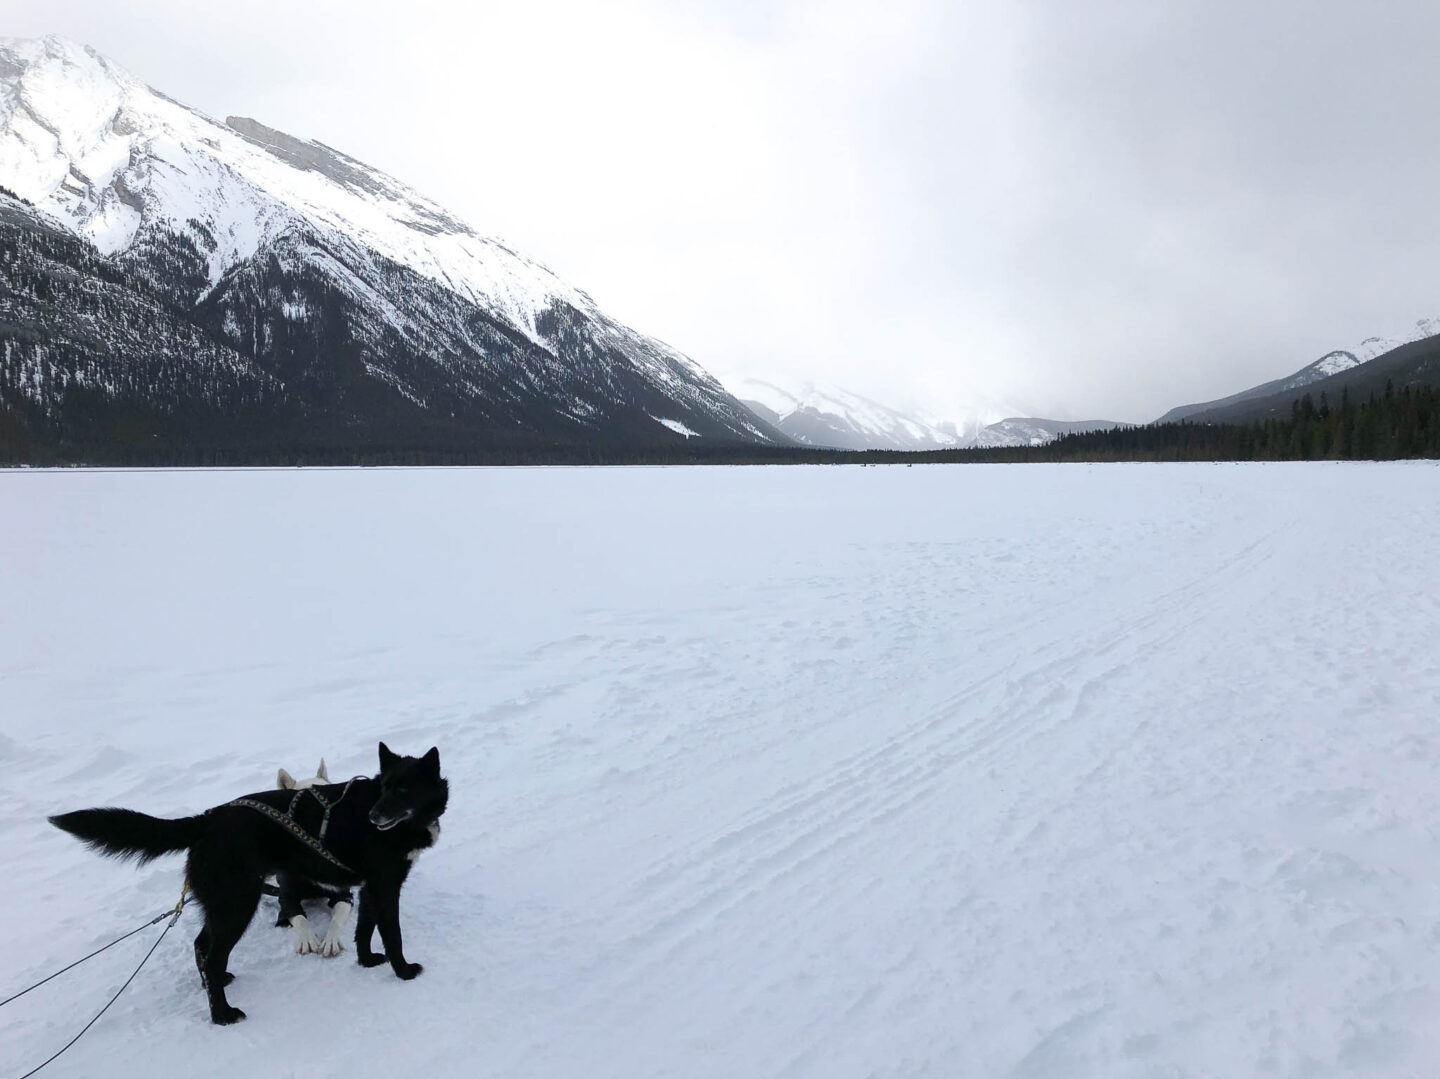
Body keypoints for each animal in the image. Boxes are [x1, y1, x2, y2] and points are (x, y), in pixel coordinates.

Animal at [52, 743, 443, 1025]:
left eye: (402, 790)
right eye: (385, 789)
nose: (374, 817)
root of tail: (207, 820)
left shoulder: (369, 888)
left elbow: (363, 927)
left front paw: (367, 961)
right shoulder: (386, 885)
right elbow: (392, 934)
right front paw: (404, 971)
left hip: (224, 905)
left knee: (202, 945)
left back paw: (216, 985)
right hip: (240, 903)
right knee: (211, 955)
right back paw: (222, 1015)